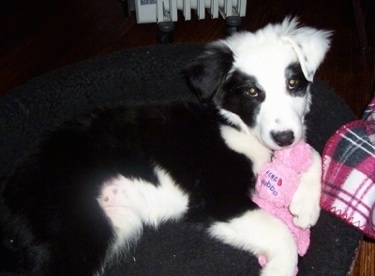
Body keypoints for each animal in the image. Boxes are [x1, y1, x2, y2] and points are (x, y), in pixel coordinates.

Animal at [1, 17, 332, 276]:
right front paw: (282, 267)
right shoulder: (217, 199)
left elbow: (314, 153)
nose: (284, 137)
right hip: (75, 228)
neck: (233, 124)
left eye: (293, 84)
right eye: (251, 92)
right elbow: (280, 233)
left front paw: (305, 207)